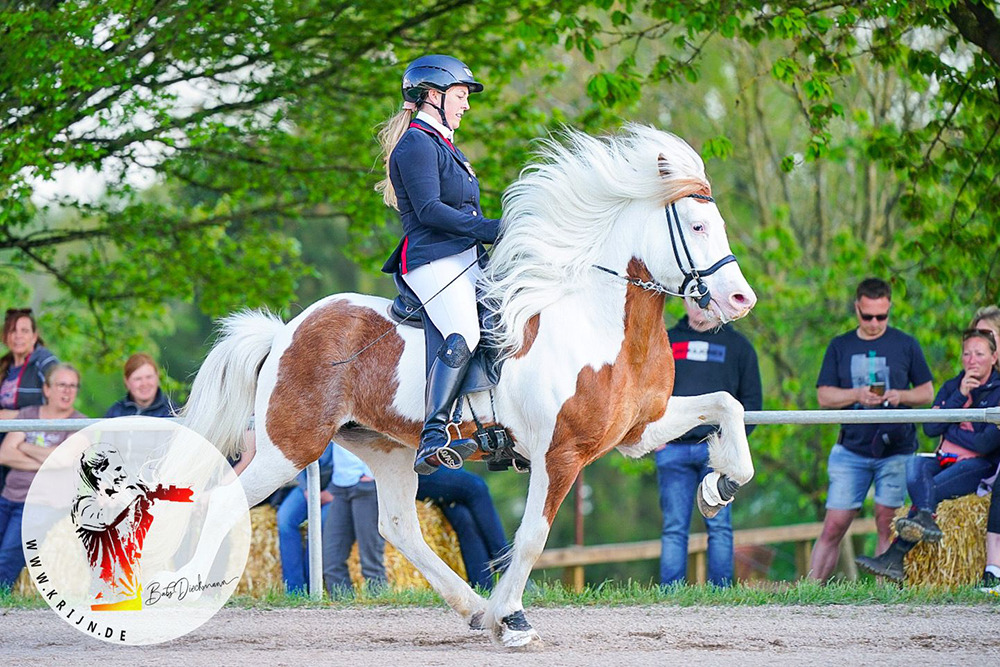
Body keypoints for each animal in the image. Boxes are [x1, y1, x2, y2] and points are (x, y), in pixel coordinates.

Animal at [182, 124, 756, 648]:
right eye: (698, 226)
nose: (740, 300)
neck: (598, 322)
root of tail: (284, 332)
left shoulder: (638, 431)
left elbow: (726, 406)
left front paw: (718, 486)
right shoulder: (560, 454)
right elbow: (532, 537)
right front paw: (515, 620)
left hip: (385, 447)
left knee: (398, 526)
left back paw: (474, 608)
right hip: (289, 447)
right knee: (225, 499)